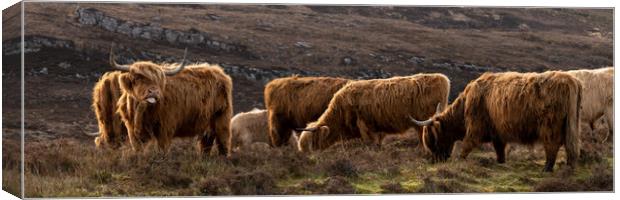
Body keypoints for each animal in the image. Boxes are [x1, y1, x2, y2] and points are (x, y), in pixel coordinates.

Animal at [296, 73, 450, 152]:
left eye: (314, 140)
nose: (309, 156)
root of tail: (441, 78)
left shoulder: (364, 125)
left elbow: (368, 143)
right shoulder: (377, 127)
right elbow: (378, 143)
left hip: (424, 121)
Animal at [412, 70, 580, 172]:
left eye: (433, 139)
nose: (435, 161)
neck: (465, 104)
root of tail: (570, 80)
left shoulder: (475, 127)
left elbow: (467, 145)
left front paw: (459, 161)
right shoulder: (498, 133)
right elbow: (500, 150)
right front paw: (501, 163)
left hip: (550, 126)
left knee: (552, 145)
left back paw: (547, 169)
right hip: (571, 124)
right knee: (571, 145)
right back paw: (569, 168)